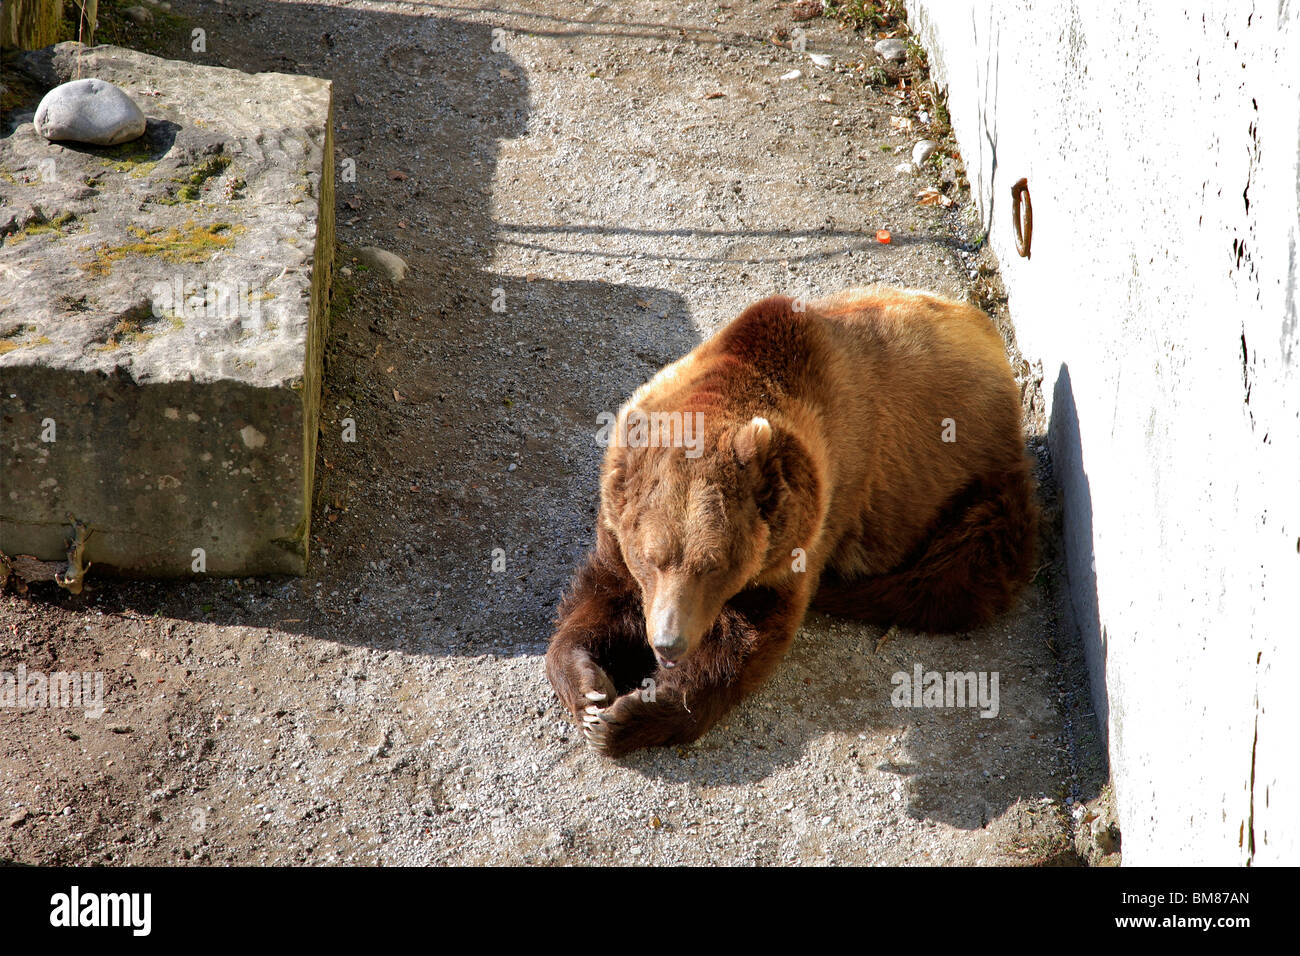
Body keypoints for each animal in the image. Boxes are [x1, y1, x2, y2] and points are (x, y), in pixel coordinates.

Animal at [543, 283, 1040, 754]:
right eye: (652, 558)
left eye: (714, 565)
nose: (669, 643)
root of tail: (986, 332)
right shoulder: (619, 519)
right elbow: (599, 598)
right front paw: (591, 693)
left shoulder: (802, 531)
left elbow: (747, 643)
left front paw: (632, 713)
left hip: (974, 485)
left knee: (955, 573)